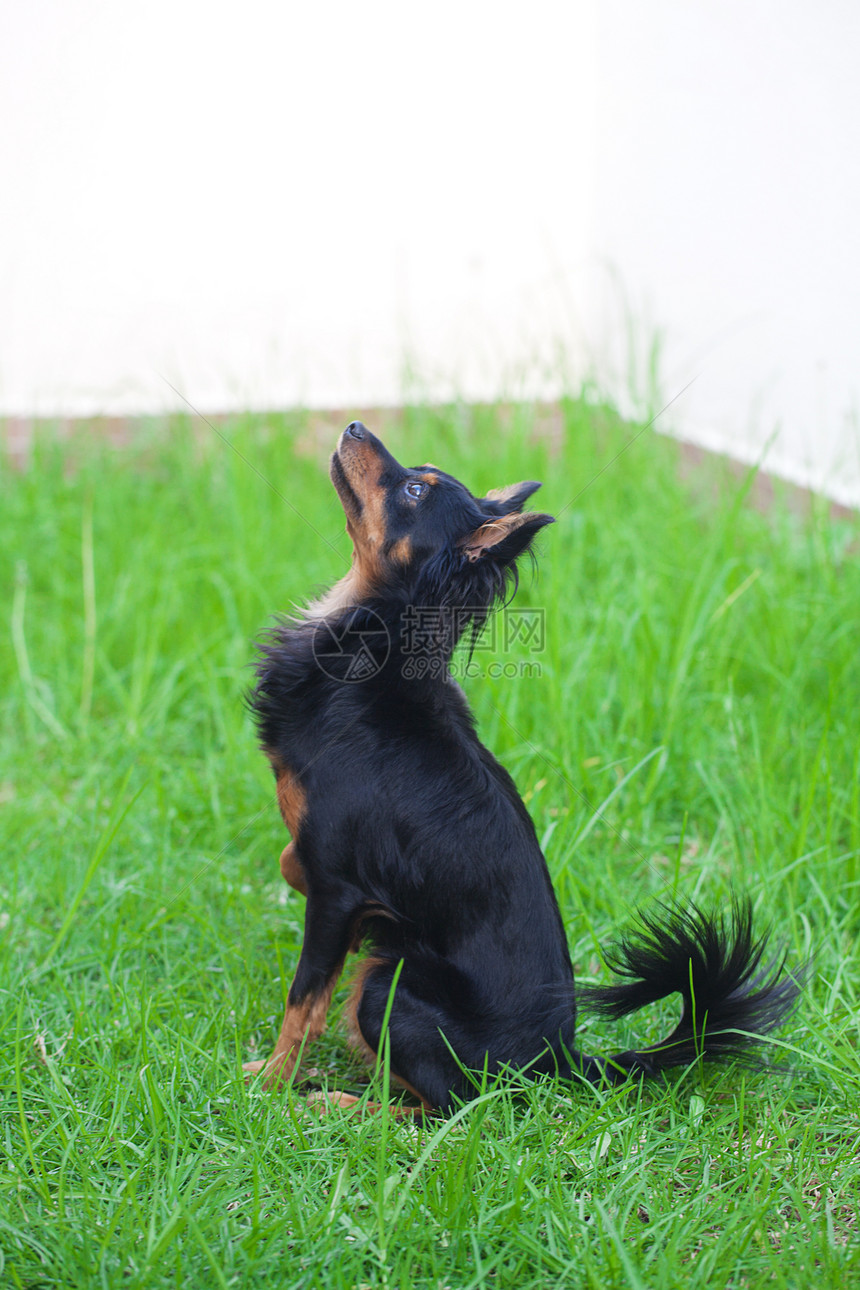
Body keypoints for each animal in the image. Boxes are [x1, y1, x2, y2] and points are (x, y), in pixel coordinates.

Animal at [243, 423, 799, 1109]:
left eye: (414, 488)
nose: (354, 428)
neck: (375, 644)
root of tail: (560, 1060)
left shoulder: (337, 890)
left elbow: (304, 1001)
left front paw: (270, 1083)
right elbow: (289, 866)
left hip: (389, 985)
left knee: (441, 1107)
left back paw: (333, 1104)